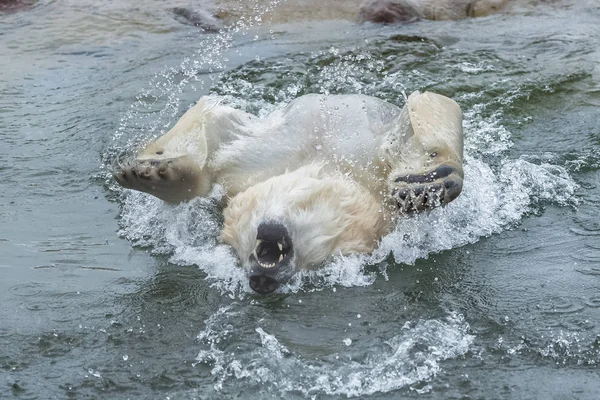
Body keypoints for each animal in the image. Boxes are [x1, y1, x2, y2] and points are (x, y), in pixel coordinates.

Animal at [115, 92, 466, 296]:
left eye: (319, 262)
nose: (262, 281)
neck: (323, 164)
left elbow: (438, 108)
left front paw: (429, 185)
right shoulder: (253, 160)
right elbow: (210, 122)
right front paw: (149, 172)